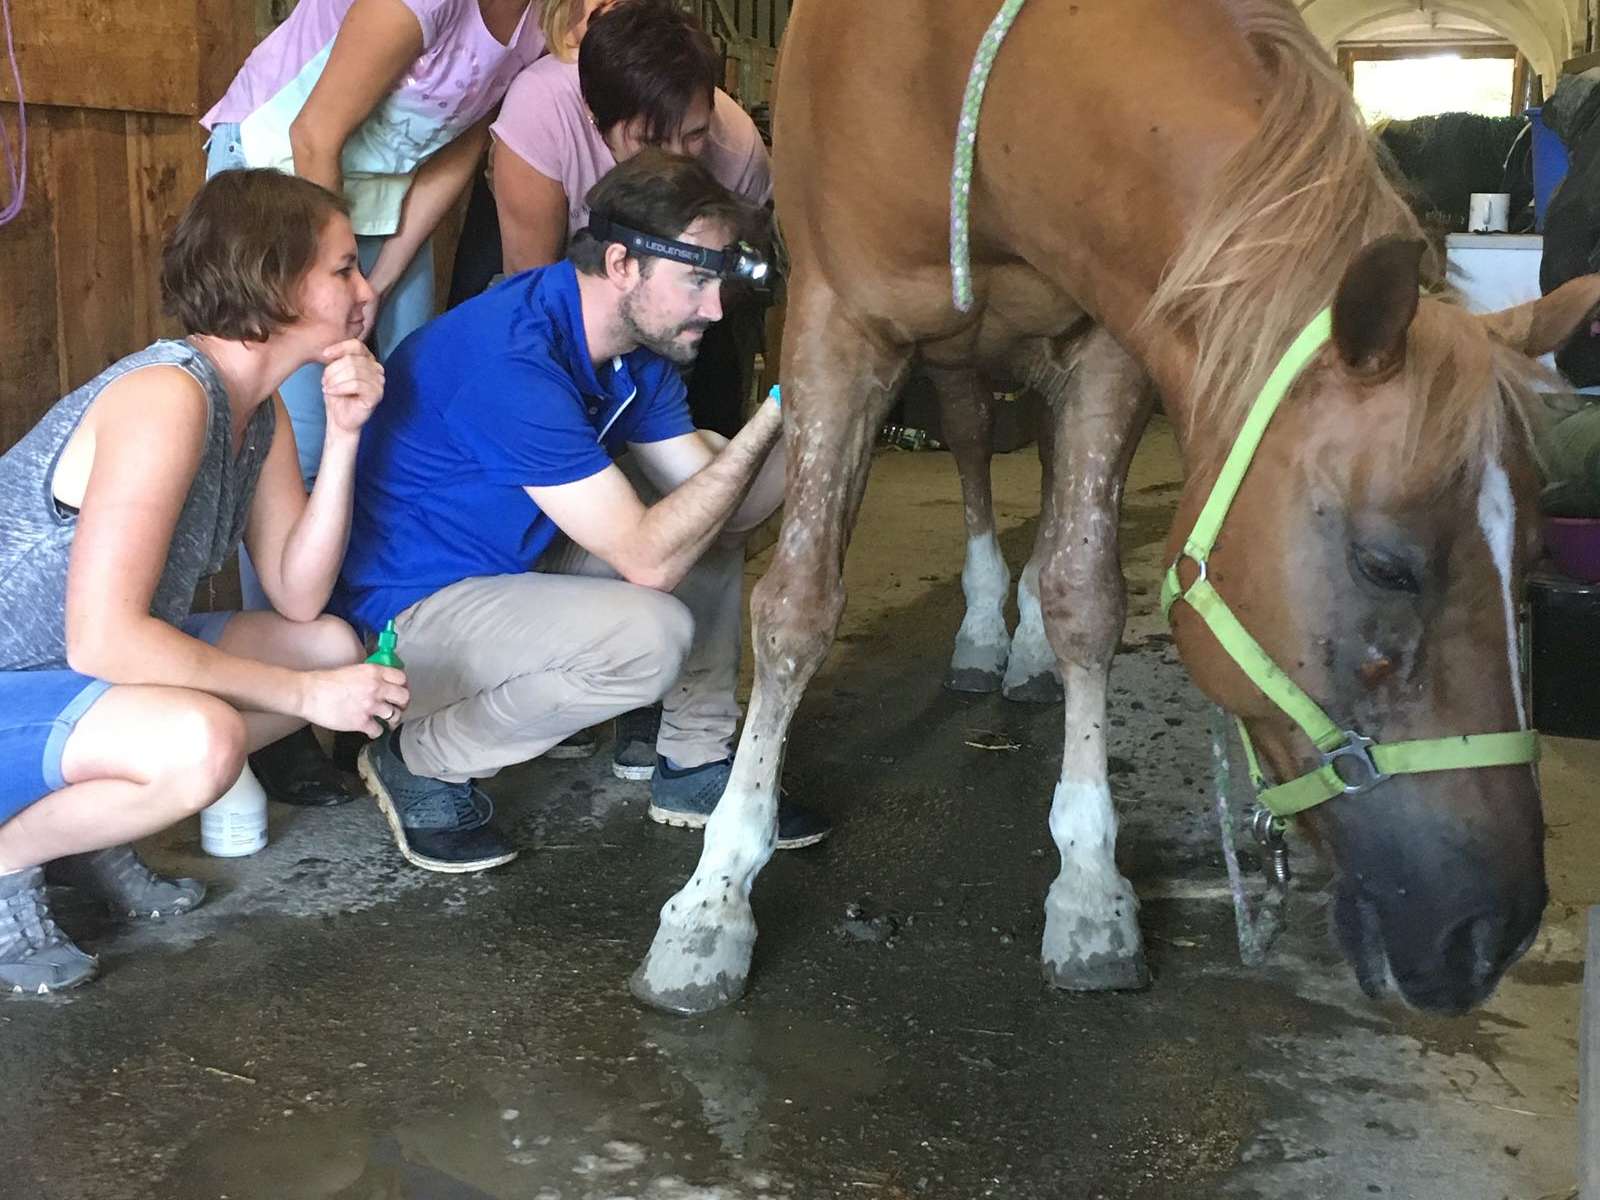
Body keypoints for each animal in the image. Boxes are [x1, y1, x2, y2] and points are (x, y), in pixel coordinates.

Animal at [630, 0, 1600, 1017]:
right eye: (1384, 565)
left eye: (1534, 558)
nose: (1490, 934)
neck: (957, 68)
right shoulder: (836, 323)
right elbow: (795, 606)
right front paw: (711, 902)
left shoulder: (1111, 338)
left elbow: (1084, 596)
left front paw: (1091, 890)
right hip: (956, 356)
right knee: (972, 442)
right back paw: (982, 631)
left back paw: (1021, 649)